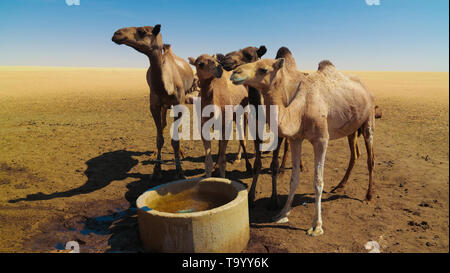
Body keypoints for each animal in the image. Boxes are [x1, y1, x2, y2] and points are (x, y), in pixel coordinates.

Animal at [111, 25, 194, 178]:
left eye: (142, 31)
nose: (116, 34)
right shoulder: (154, 105)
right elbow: (159, 138)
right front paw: (156, 170)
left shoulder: (179, 103)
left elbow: (174, 139)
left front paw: (179, 171)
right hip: (163, 105)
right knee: (163, 124)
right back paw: (155, 153)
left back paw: (181, 152)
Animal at [230, 58, 374, 236]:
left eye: (263, 69)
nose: (235, 73)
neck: (301, 110)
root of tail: (366, 88)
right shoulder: (295, 139)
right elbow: (294, 179)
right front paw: (282, 214)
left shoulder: (321, 140)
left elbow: (318, 181)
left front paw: (316, 226)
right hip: (352, 126)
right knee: (355, 154)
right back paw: (340, 185)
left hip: (369, 118)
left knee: (370, 158)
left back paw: (368, 196)